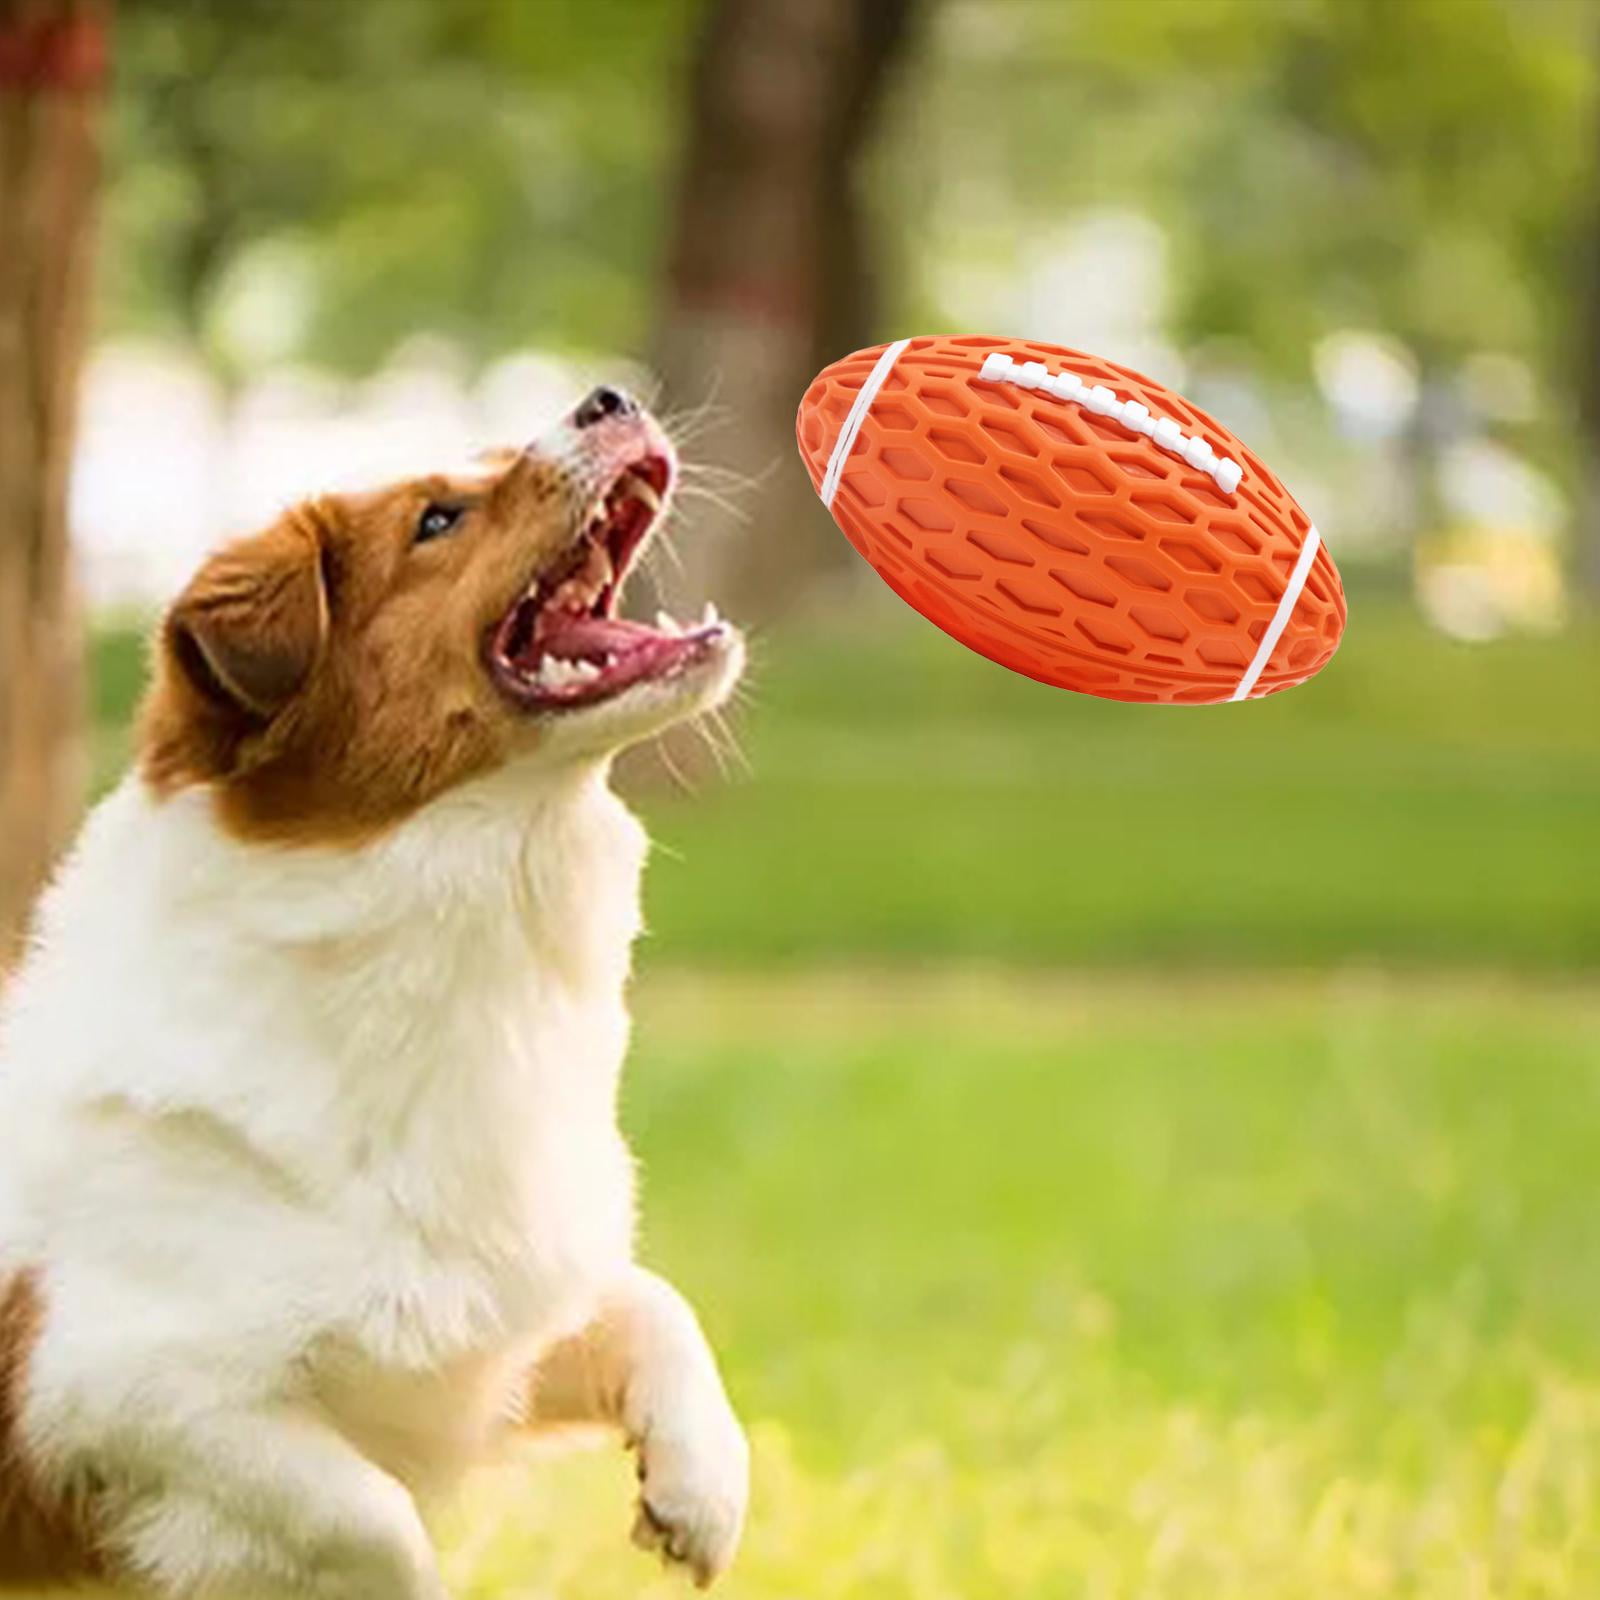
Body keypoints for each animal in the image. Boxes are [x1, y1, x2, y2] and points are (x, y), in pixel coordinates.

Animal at [0, 390, 748, 1600]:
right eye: (437, 519)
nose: (609, 398)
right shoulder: (117, 1397)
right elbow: (377, 1523)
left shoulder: (472, 1334)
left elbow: (650, 1301)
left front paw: (701, 1488)